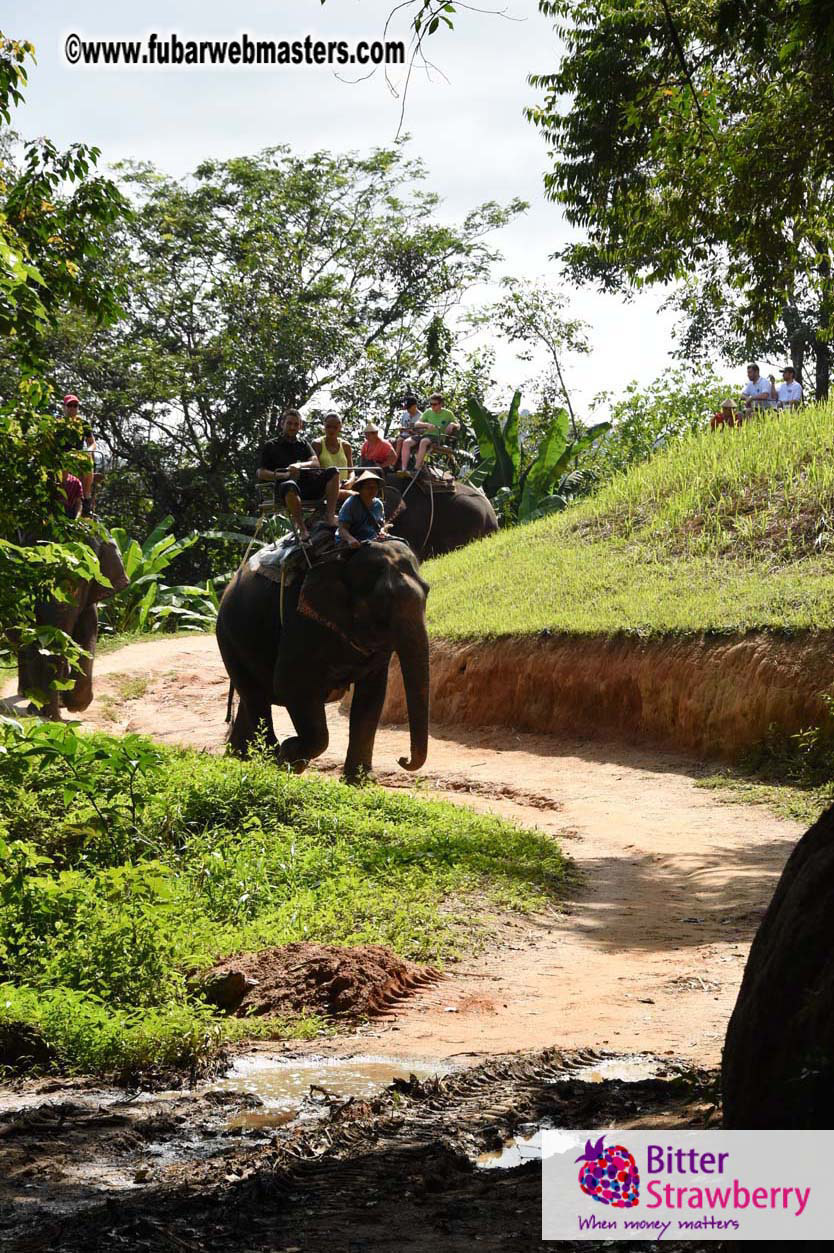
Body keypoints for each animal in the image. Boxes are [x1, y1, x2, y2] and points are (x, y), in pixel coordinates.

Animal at [16, 533, 129, 719]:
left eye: (77, 585)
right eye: (33, 581)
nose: (56, 719)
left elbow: (87, 634)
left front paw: (75, 705)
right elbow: (34, 642)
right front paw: (40, 710)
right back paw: (27, 696)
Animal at [216, 536, 430, 781]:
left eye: (428, 591)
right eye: (382, 603)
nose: (402, 759)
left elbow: (372, 695)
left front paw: (359, 782)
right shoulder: (301, 622)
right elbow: (291, 686)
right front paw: (290, 757)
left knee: (250, 699)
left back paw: (238, 759)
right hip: (229, 638)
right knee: (256, 698)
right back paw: (267, 762)